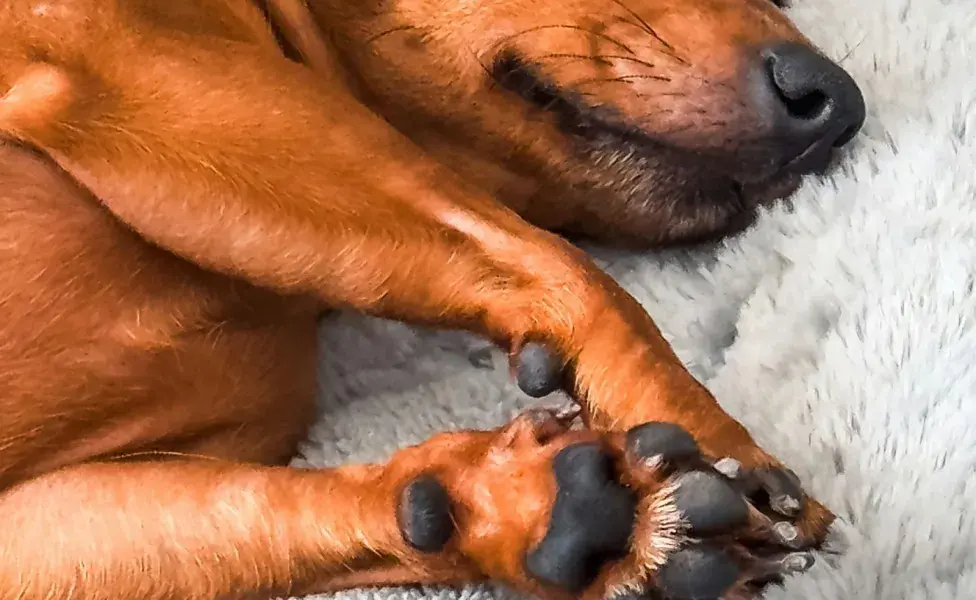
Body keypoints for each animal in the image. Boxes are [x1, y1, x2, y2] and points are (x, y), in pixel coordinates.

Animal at [0, 0, 864, 596]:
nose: (839, 107)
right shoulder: (124, 52)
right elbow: (556, 262)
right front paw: (709, 429)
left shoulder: (38, 534)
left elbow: (268, 508)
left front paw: (538, 512)